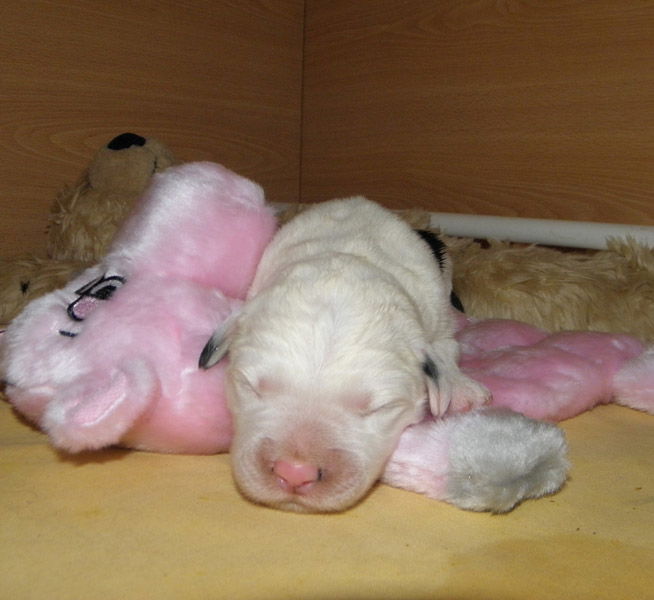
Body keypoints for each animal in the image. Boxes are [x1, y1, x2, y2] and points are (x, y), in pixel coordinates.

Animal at [200, 197, 489, 512]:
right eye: (251, 387)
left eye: (378, 408)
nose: (295, 473)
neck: (346, 260)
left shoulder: (438, 319)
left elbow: (447, 348)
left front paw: (459, 389)